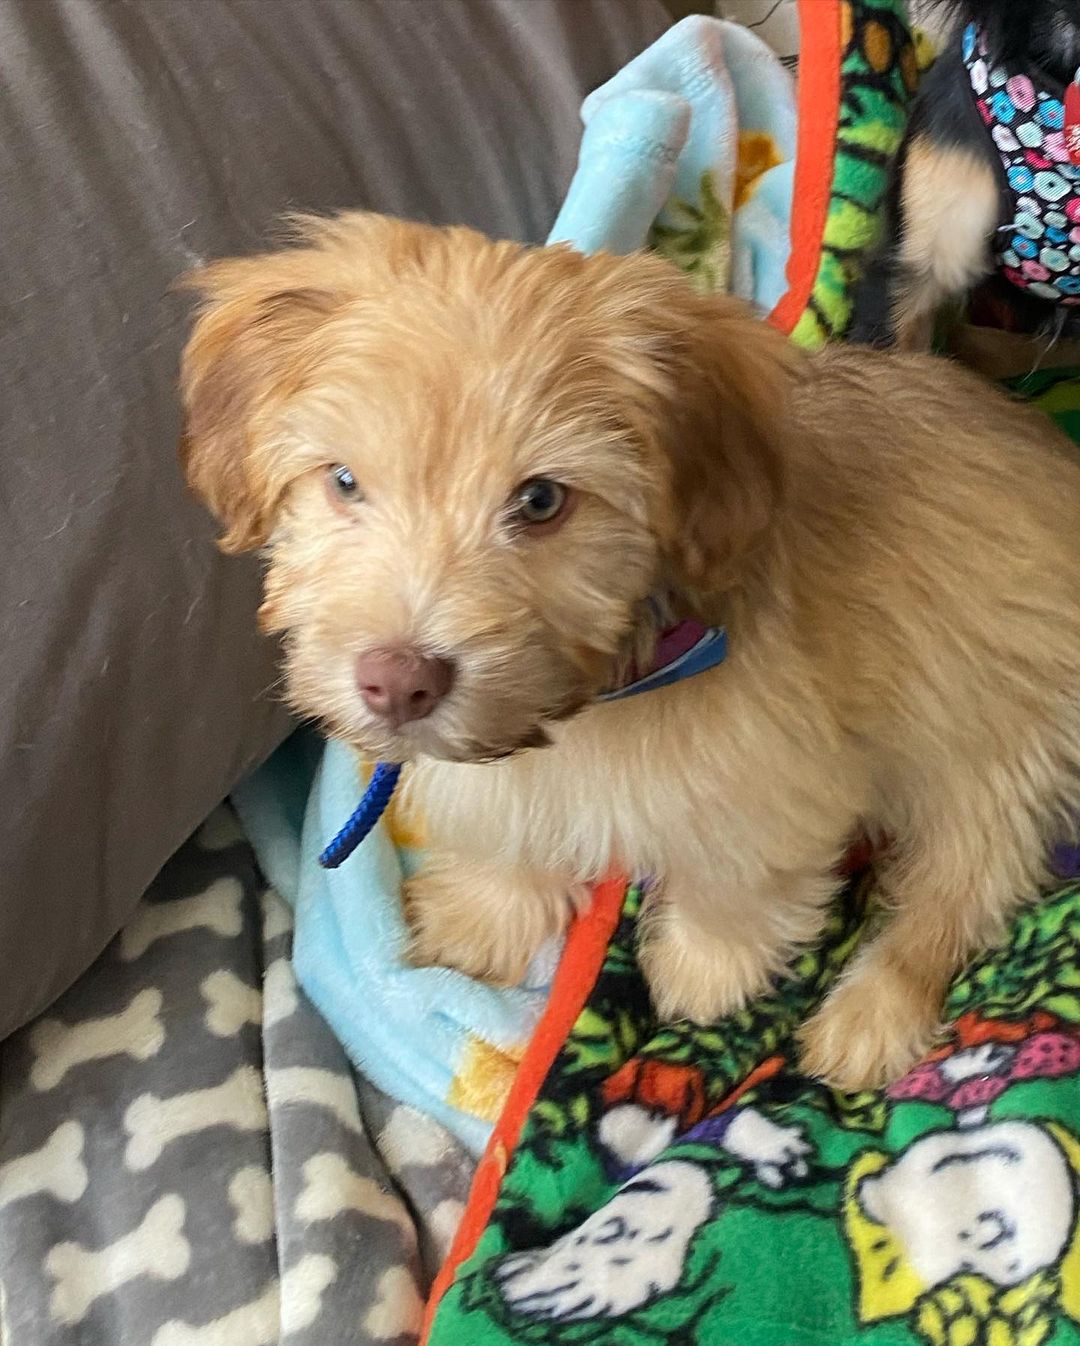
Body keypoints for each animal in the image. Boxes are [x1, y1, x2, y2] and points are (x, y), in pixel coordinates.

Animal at [180, 212, 1077, 1092]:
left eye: (542, 501)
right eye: (343, 481)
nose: (399, 684)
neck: (607, 689)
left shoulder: (773, 776)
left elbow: (736, 877)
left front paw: (707, 968)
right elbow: (509, 831)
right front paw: (486, 915)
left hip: (997, 744)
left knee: (959, 890)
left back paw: (869, 1014)